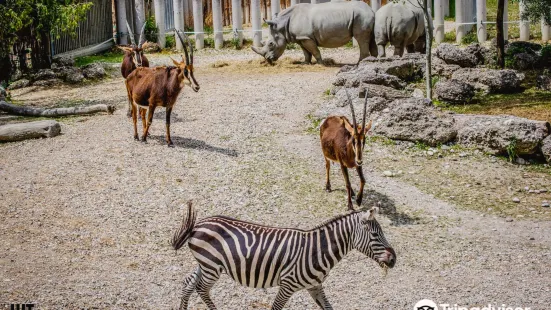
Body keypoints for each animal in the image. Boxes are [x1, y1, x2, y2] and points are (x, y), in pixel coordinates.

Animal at [172, 202, 396, 308]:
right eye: (375, 235)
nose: (394, 259)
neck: (318, 250)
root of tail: (198, 225)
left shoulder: (315, 286)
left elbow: (328, 307)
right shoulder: (288, 285)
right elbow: (276, 307)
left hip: (206, 265)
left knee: (189, 282)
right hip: (212, 267)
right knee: (201, 289)